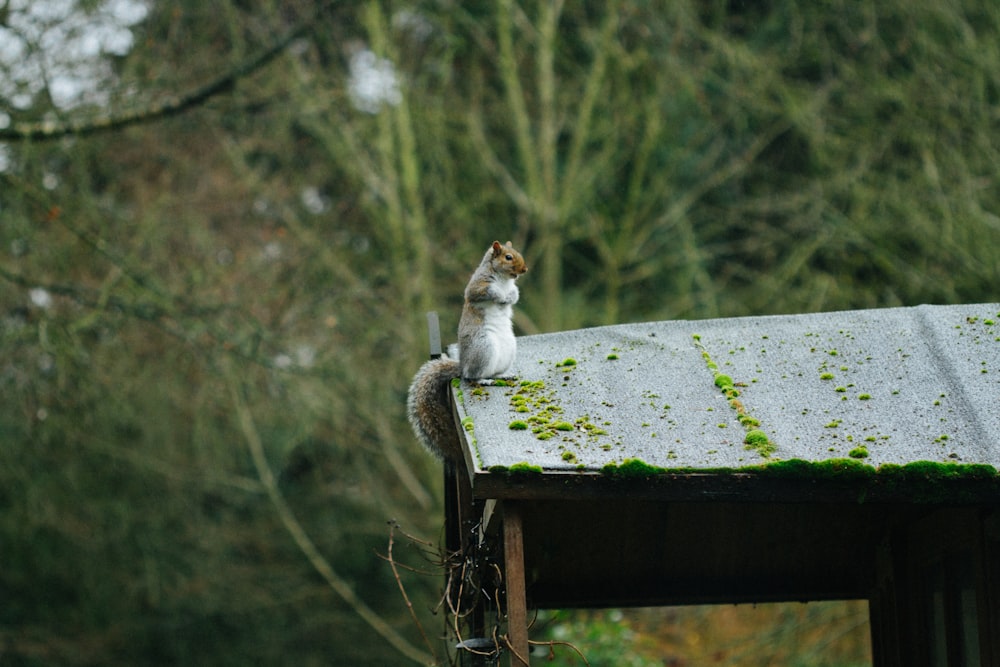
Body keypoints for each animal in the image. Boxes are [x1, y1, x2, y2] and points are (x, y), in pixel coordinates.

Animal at [408, 243, 532, 462]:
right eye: (508, 257)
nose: (524, 269)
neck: (503, 280)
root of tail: (463, 364)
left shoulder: (513, 288)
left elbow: (515, 294)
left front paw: (509, 297)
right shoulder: (476, 286)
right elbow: (483, 292)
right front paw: (500, 297)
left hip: (508, 350)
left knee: (491, 372)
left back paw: (503, 376)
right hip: (484, 348)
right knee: (472, 376)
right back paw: (483, 380)